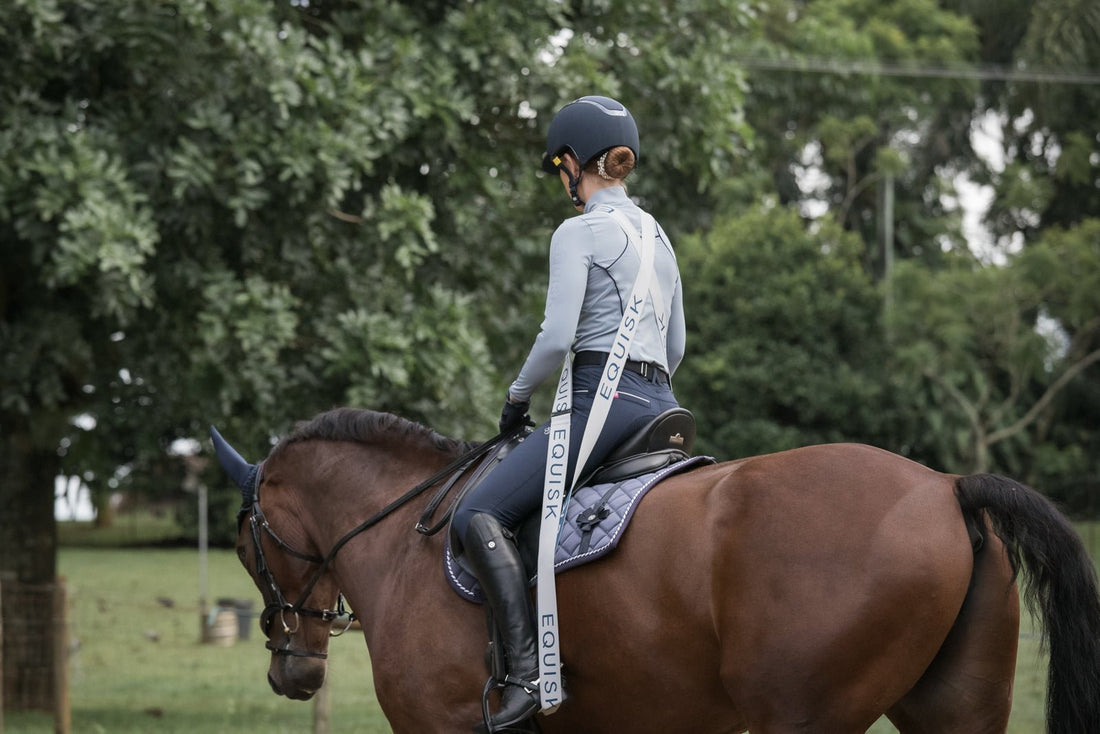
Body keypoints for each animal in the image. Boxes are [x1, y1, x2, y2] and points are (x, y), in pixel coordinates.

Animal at [213, 407, 1100, 734]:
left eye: (244, 545)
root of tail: (946, 487)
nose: (293, 672)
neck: (405, 533)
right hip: (954, 707)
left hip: (802, 717)